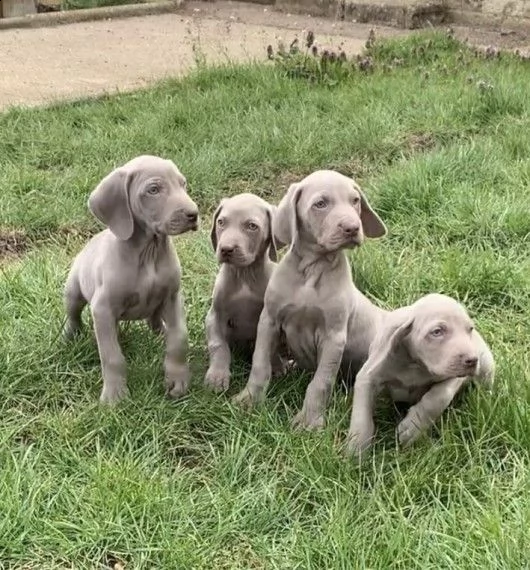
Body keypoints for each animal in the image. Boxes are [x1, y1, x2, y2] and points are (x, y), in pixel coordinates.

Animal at [64, 154, 198, 404]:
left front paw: (177, 379)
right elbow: (112, 355)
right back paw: (71, 335)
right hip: (73, 291)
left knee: (154, 320)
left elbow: (179, 339)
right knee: (74, 314)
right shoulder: (102, 308)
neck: (149, 252)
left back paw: (160, 333)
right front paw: (115, 394)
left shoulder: (173, 297)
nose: (194, 214)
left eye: (183, 184)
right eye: (153, 190)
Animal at [203, 192, 282, 390]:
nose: (226, 249)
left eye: (252, 226)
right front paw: (217, 376)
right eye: (221, 222)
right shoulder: (215, 316)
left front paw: (276, 364)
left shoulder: (269, 318)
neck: (245, 274)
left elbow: (269, 347)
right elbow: (219, 345)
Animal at [230, 169, 384, 426]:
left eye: (355, 201)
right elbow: (260, 364)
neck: (311, 271)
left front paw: (309, 421)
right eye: (320, 204)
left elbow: (320, 382)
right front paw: (248, 399)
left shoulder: (334, 337)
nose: (353, 228)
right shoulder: (269, 321)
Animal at [346, 292, 490, 458]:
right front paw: (356, 449)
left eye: (469, 329)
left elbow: (439, 397)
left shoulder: (453, 377)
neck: (415, 365)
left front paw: (412, 428)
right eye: (437, 331)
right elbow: (361, 413)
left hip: (487, 364)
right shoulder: (368, 376)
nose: (472, 360)